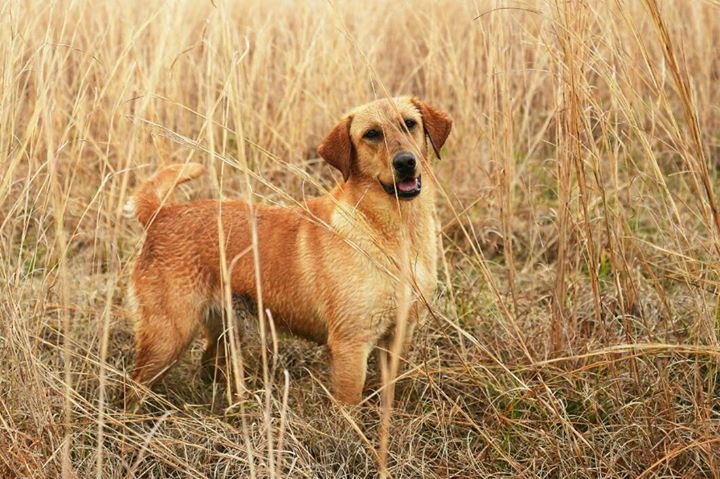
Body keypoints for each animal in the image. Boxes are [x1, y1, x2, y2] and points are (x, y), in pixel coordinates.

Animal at [124, 95, 450, 404]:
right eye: (371, 134)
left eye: (410, 124)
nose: (405, 162)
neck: (393, 230)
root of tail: (162, 213)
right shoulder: (350, 346)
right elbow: (349, 409)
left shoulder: (397, 338)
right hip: (167, 339)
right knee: (133, 387)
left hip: (225, 331)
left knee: (208, 364)